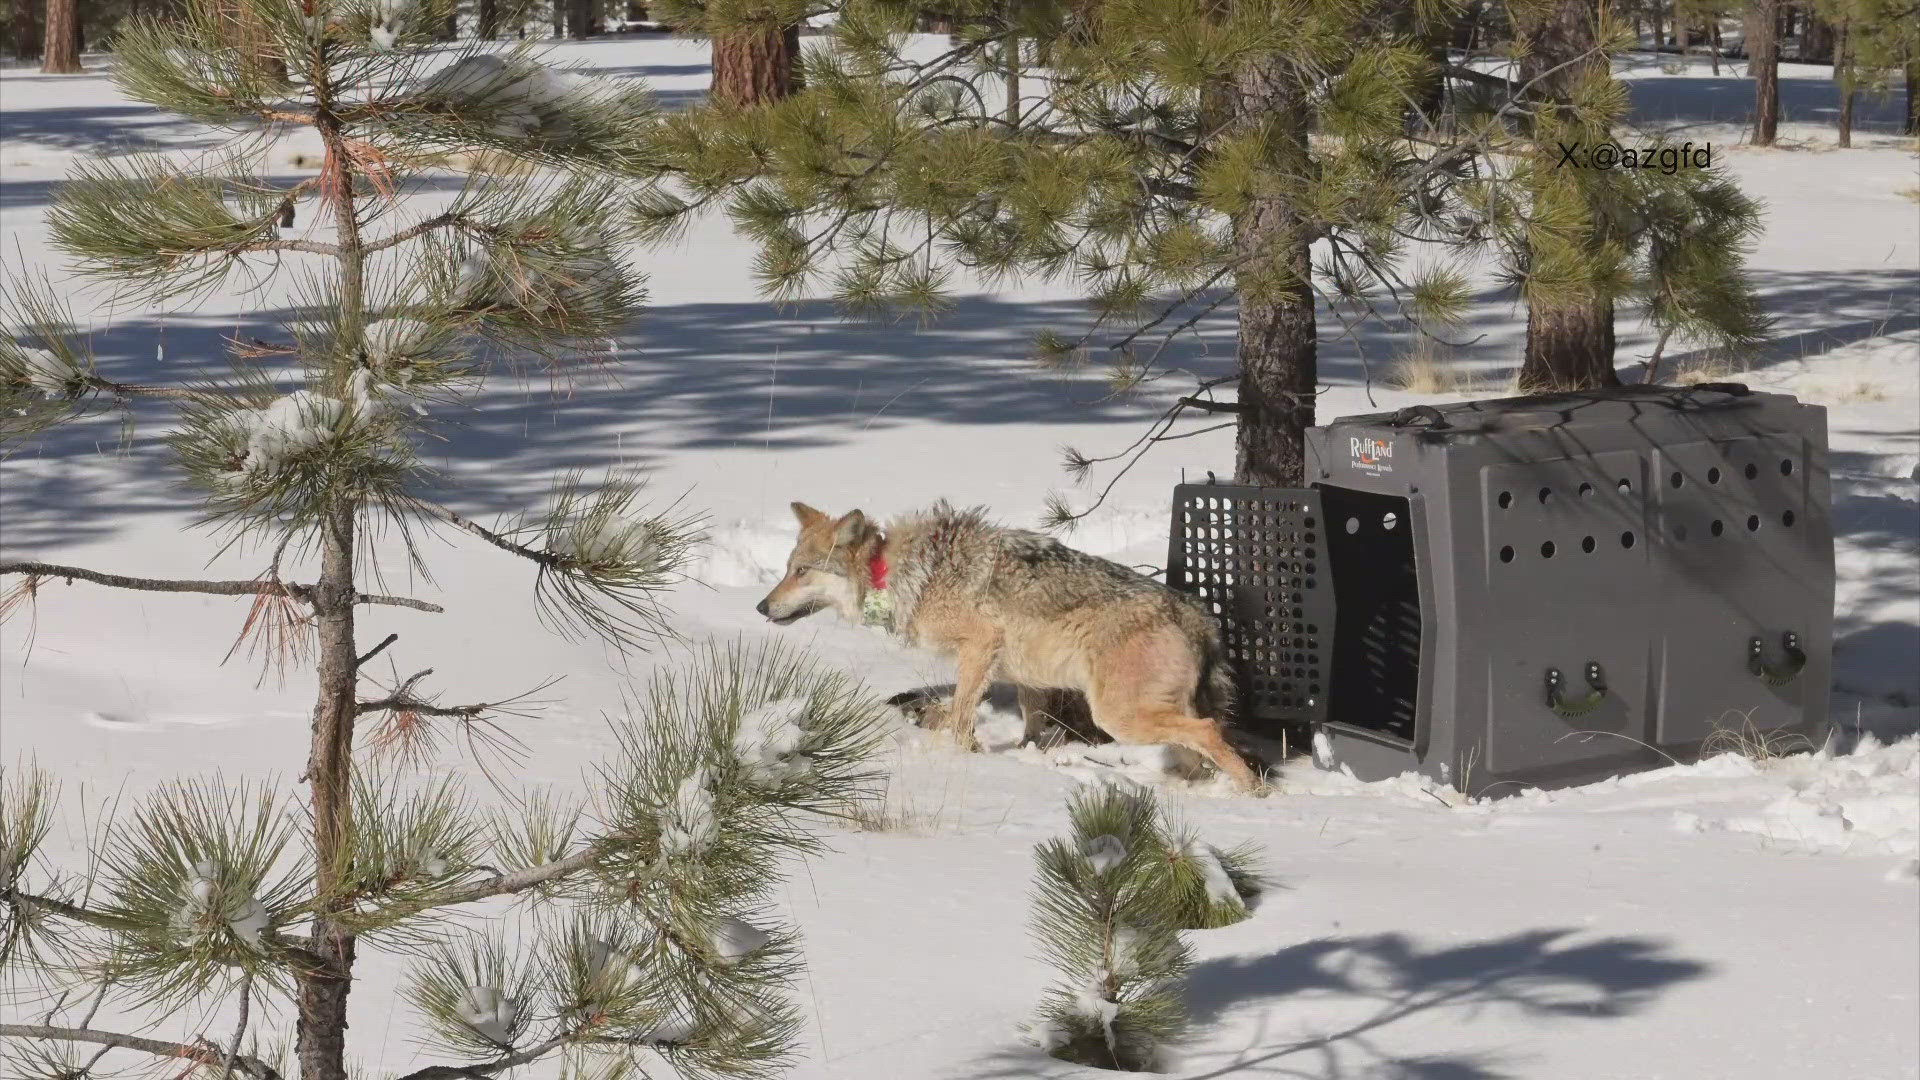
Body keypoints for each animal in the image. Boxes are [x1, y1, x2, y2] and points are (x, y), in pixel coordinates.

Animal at [756, 499, 1267, 791]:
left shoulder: (979, 647)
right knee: (1199, 743)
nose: (761, 607)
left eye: (801, 571)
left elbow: (962, 715)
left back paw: (1252, 795)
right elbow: (1028, 722)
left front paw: (964, 756)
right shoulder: (1025, 677)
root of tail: (1196, 613)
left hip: (1118, 717)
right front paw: (1025, 755)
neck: (898, 573)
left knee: (1209, 733)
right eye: (787, 568)